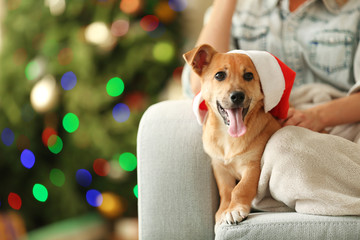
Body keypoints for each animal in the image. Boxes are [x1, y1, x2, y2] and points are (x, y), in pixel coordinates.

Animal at [184, 44, 294, 225]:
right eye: (219, 75)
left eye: (249, 76)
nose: (237, 96)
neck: (229, 137)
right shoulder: (220, 168)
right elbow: (226, 191)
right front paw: (223, 210)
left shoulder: (253, 166)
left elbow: (241, 188)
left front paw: (235, 209)